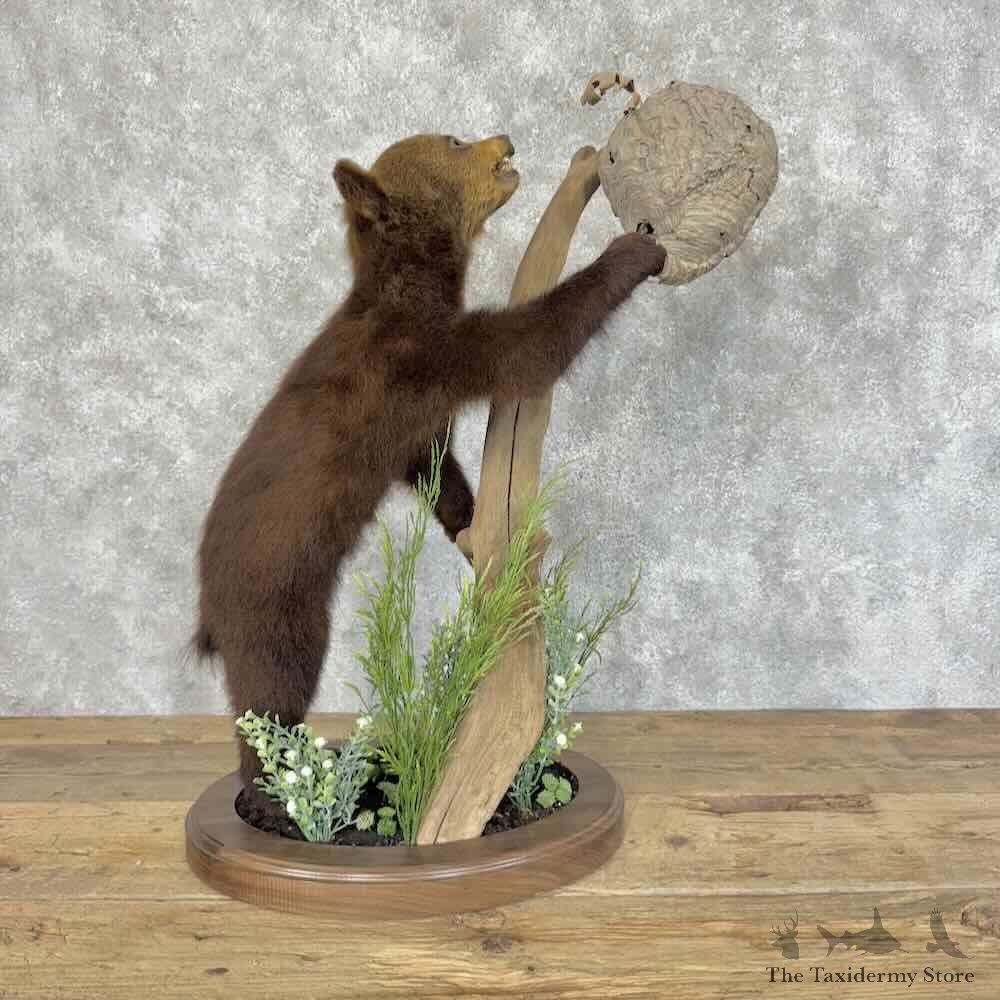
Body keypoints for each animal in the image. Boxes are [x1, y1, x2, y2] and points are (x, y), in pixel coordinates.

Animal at [187, 131, 666, 828]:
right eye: (455, 141)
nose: (504, 138)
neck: (408, 291)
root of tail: (207, 611)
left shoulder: (416, 414)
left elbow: (432, 462)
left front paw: (469, 522)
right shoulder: (419, 355)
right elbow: (526, 347)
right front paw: (633, 249)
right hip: (276, 600)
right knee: (269, 694)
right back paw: (278, 799)